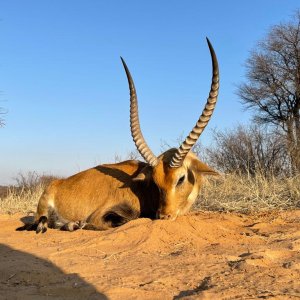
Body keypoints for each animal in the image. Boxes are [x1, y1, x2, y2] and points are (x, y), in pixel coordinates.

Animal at [17, 38, 220, 234]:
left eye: (181, 178)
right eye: (155, 182)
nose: (163, 216)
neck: (143, 188)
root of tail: (57, 182)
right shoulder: (100, 216)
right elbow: (117, 220)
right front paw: (79, 224)